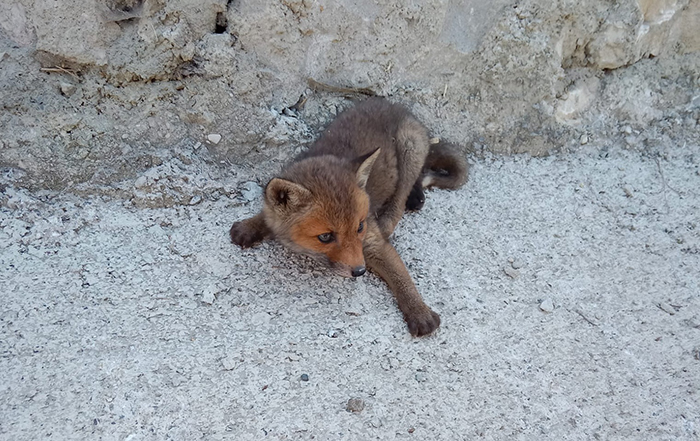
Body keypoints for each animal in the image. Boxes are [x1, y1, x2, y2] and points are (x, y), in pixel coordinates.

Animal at [232, 98, 468, 336]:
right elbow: (267, 214)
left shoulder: (373, 244)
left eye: (360, 227)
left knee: (401, 198)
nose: (360, 271)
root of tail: (396, 106)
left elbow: (402, 278)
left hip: (409, 148)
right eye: (325, 237)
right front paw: (249, 226)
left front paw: (419, 312)